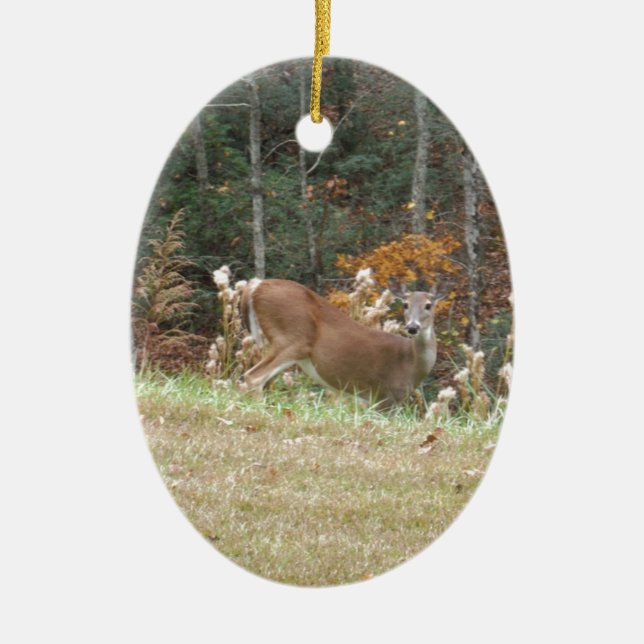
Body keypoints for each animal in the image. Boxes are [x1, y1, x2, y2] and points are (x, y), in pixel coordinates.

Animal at [239, 277, 444, 409]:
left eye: (428, 305)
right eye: (405, 304)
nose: (412, 327)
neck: (409, 362)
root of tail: (257, 285)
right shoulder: (386, 396)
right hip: (293, 338)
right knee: (253, 377)